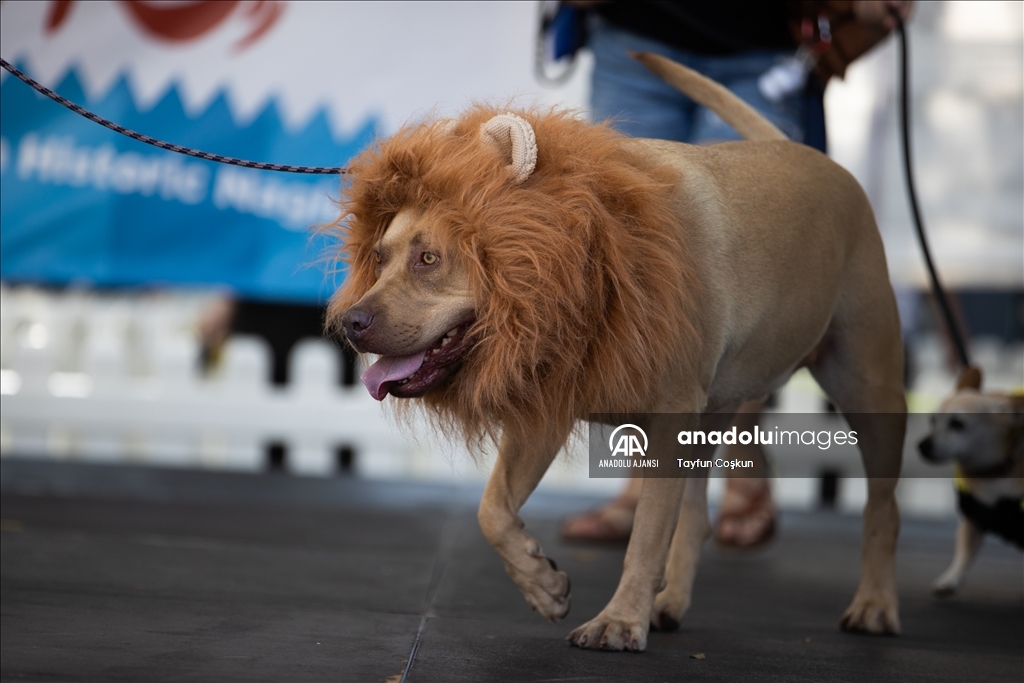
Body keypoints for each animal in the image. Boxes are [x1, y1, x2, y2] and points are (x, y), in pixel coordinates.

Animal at [329, 54, 905, 651]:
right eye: (379, 256)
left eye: (430, 259)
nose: (352, 322)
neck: (589, 249)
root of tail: (816, 159)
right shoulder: (546, 409)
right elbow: (493, 510)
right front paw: (541, 583)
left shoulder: (669, 422)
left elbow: (645, 536)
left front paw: (622, 619)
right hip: (712, 415)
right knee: (695, 517)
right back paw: (669, 604)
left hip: (870, 391)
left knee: (882, 510)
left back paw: (875, 605)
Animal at [921, 366, 1024, 593]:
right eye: (932, 421)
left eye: (958, 424)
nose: (922, 445)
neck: (993, 475)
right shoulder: (973, 518)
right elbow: (964, 551)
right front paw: (950, 578)